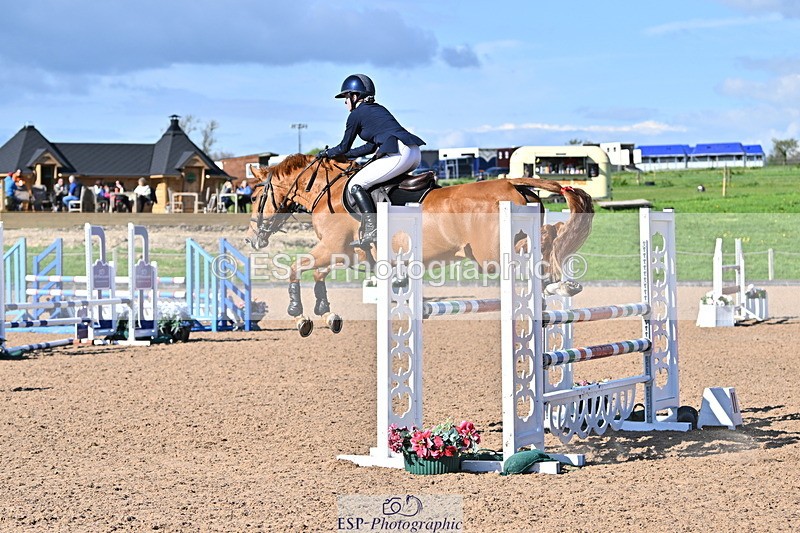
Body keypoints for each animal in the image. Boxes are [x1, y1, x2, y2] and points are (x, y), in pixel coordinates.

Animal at [245, 154, 594, 337]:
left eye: (254, 195)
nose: (250, 238)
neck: (326, 192)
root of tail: (512, 181)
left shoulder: (331, 248)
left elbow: (295, 268)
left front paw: (299, 316)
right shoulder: (344, 254)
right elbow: (318, 275)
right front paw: (327, 313)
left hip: (490, 255)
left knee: (546, 243)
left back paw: (561, 283)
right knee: (548, 243)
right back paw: (561, 284)